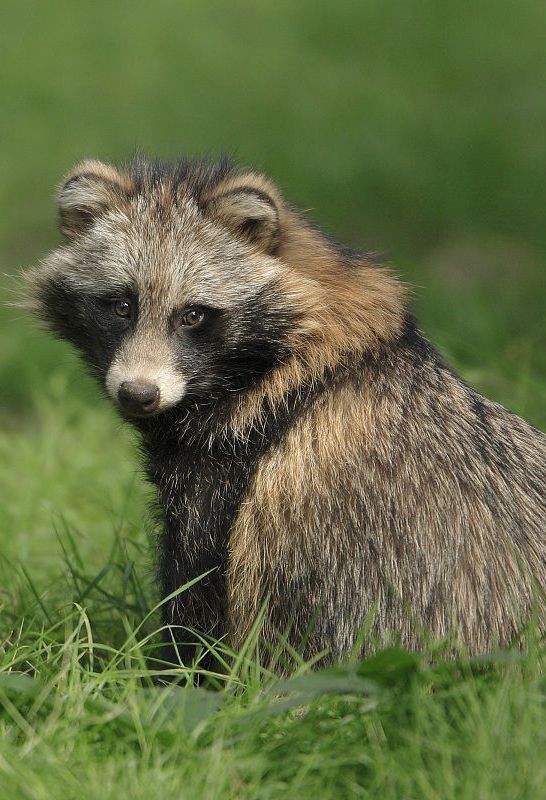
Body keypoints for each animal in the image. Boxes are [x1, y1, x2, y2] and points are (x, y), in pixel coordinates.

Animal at [27, 158, 544, 668]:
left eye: (193, 315)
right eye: (121, 305)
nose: (139, 393)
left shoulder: (228, 475)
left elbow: (198, 597)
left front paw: (177, 672)